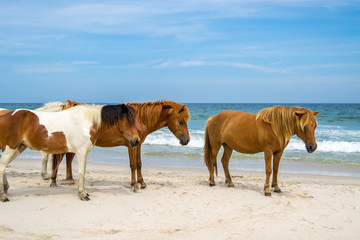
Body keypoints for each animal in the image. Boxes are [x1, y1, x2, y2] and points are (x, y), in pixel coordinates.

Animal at [0, 104, 140, 202]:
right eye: (129, 120)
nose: (136, 141)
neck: (87, 123)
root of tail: (6, 116)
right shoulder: (81, 152)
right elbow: (81, 173)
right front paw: (82, 194)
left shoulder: (85, 152)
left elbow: (83, 171)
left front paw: (83, 191)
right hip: (10, 147)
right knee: (2, 167)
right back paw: (3, 196)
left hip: (19, 147)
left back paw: (5, 189)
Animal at [51, 100, 191, 192]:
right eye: (181, 121)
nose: (187, 140)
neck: (139, 120)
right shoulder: (132, 146)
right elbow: (133, 165)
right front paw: (134, 185)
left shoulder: (138, 144)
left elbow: (139, 164)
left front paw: (142, 183)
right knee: (58, 160)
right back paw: (53, 181)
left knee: (67, 159)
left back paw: (69, 180)